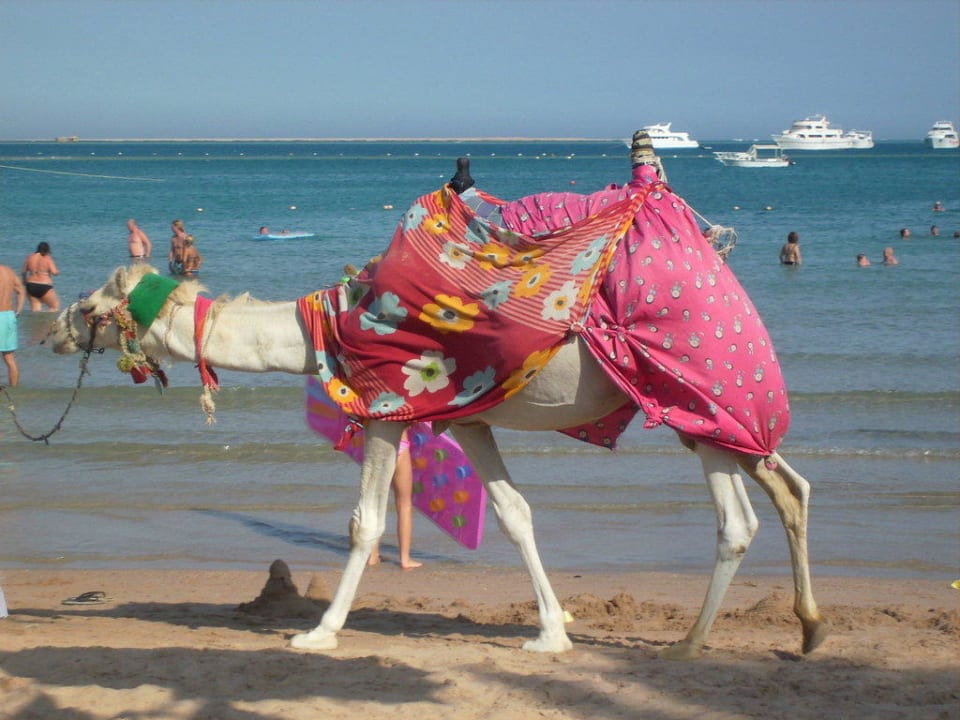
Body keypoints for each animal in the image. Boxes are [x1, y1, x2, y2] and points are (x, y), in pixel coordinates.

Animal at [48, 154, 826, 660]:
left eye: (90, 307)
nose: (53, 329)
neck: (330, 326)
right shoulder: (468, 417)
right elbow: (514, 513)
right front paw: (551, 632)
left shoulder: (385, 409)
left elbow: (363, 523)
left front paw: (318, 632)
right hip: (705, 414)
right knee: (777, 493)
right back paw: (786, 631)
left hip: (703, 388)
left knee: (747, 511)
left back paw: (705, 642)